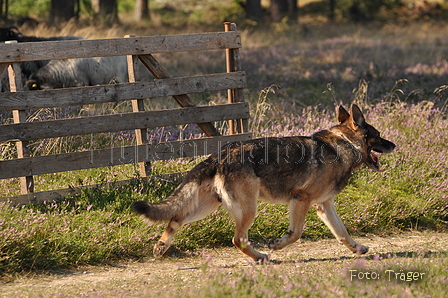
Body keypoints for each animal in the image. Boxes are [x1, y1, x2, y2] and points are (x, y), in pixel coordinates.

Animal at [131, 105, 394, 260]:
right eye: (379, 136)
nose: (394, 145)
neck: (344, 144)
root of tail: (219, 155)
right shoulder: (301, 199)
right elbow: (296, 233)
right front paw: (277, 245)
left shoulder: (324, 206)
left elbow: (342, 233)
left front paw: (357, 248)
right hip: (248, 208)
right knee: (238, 239)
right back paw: (260, 257)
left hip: (206, 207)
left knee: (175, 219)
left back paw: (161, 246)